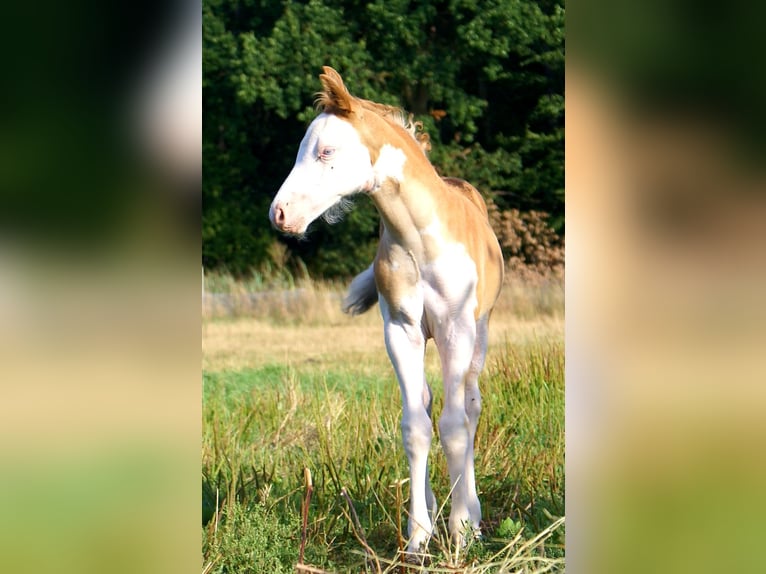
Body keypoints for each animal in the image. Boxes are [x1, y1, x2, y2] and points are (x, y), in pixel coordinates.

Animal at [269, 67, 504, 556]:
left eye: (325, 151)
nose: (279, 213)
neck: (420, 240)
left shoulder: (455, 328)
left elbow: (455, 425)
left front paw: (460, 531)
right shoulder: (401, 330)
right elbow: (416, 426)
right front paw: (417, 537)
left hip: (479, 332)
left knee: (470, 406)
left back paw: (472, 514)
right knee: (428, 403)